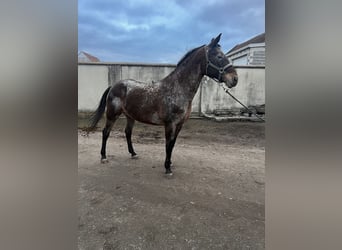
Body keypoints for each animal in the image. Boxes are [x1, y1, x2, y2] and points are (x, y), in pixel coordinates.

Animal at [88, 33, 238, 176]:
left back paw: (133, 154)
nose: (235, 79)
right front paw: (167, 169)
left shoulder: (179, 125)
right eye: (219, 56)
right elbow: (168, 145)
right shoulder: (170, 124)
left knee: (128, 133)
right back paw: (103, 157)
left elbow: (172, 144)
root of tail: (114, 85)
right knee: (106, 132)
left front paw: (170, 163)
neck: (177, 88)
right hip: (112, 114)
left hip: (130, 116)